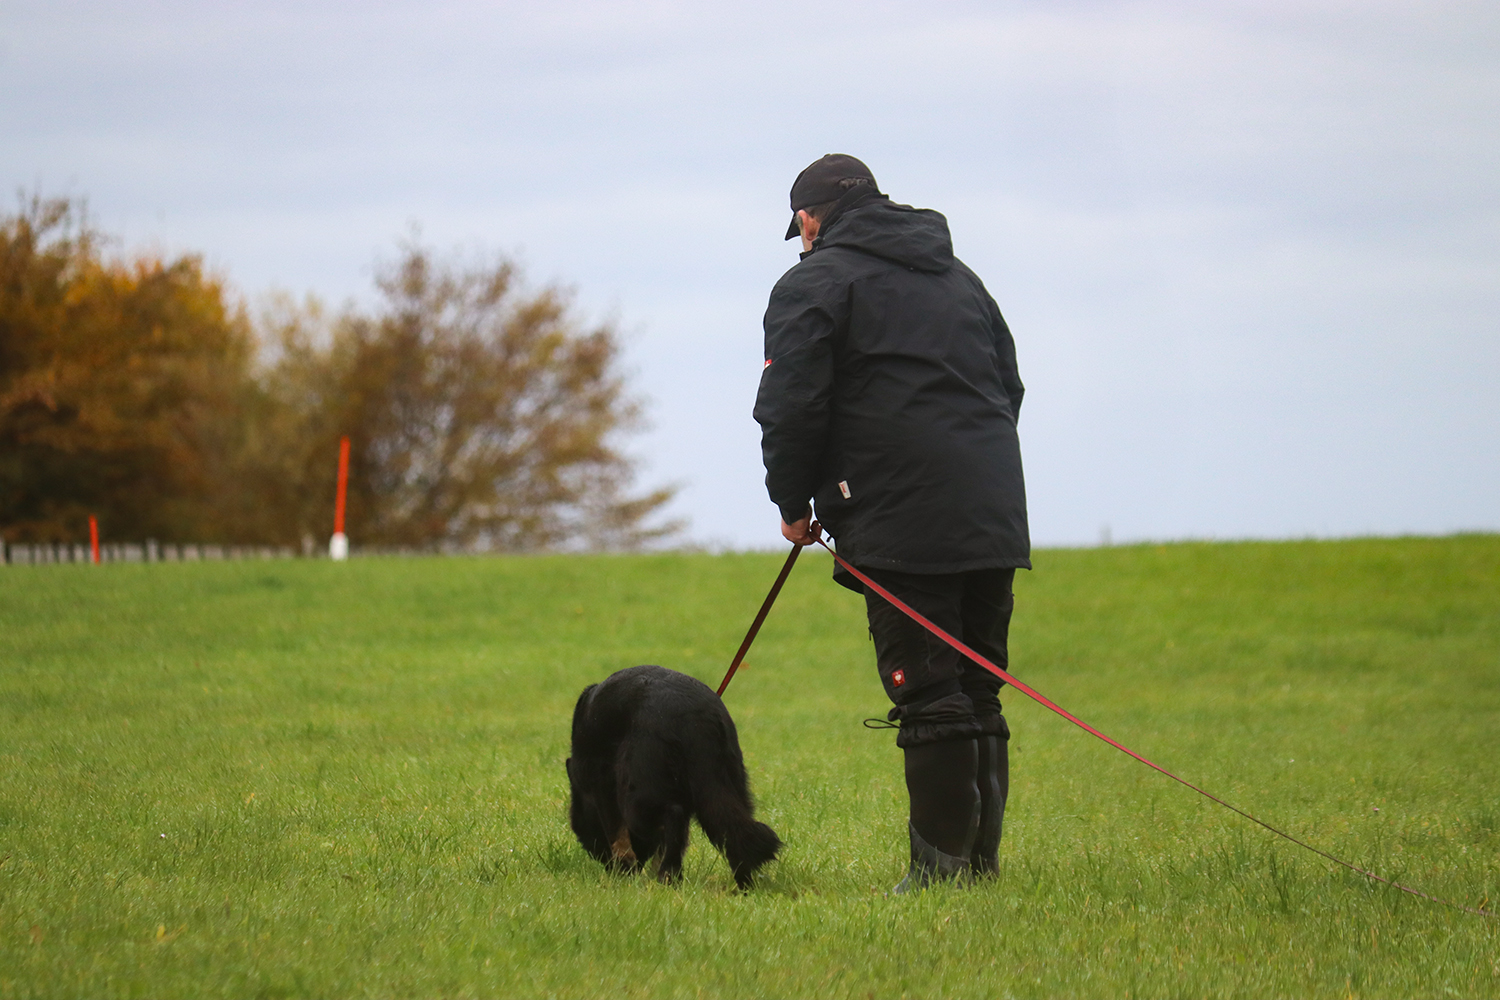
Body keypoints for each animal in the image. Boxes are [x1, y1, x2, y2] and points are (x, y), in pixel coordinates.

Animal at [564, 668, 786, 887]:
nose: (605, 865)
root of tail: (696, 718)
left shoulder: (602, 788)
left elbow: (618, 836)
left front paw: (625, 869)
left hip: (636, 795)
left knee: (673, 815)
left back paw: (668, 875)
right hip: (727, 786)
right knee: (734, 831)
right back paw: (743, 883)